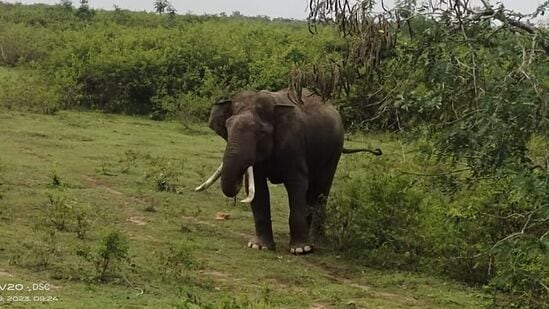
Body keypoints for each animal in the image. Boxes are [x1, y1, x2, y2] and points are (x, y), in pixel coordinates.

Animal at [197, 87, 382, 253]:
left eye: (261, 132)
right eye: (227, 127)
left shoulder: (293, 144)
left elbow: (296, 184)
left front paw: (301, 249)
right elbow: (258, 189)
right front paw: (259, 247)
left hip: (334, 150)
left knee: (321, 189)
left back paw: (316, 241)